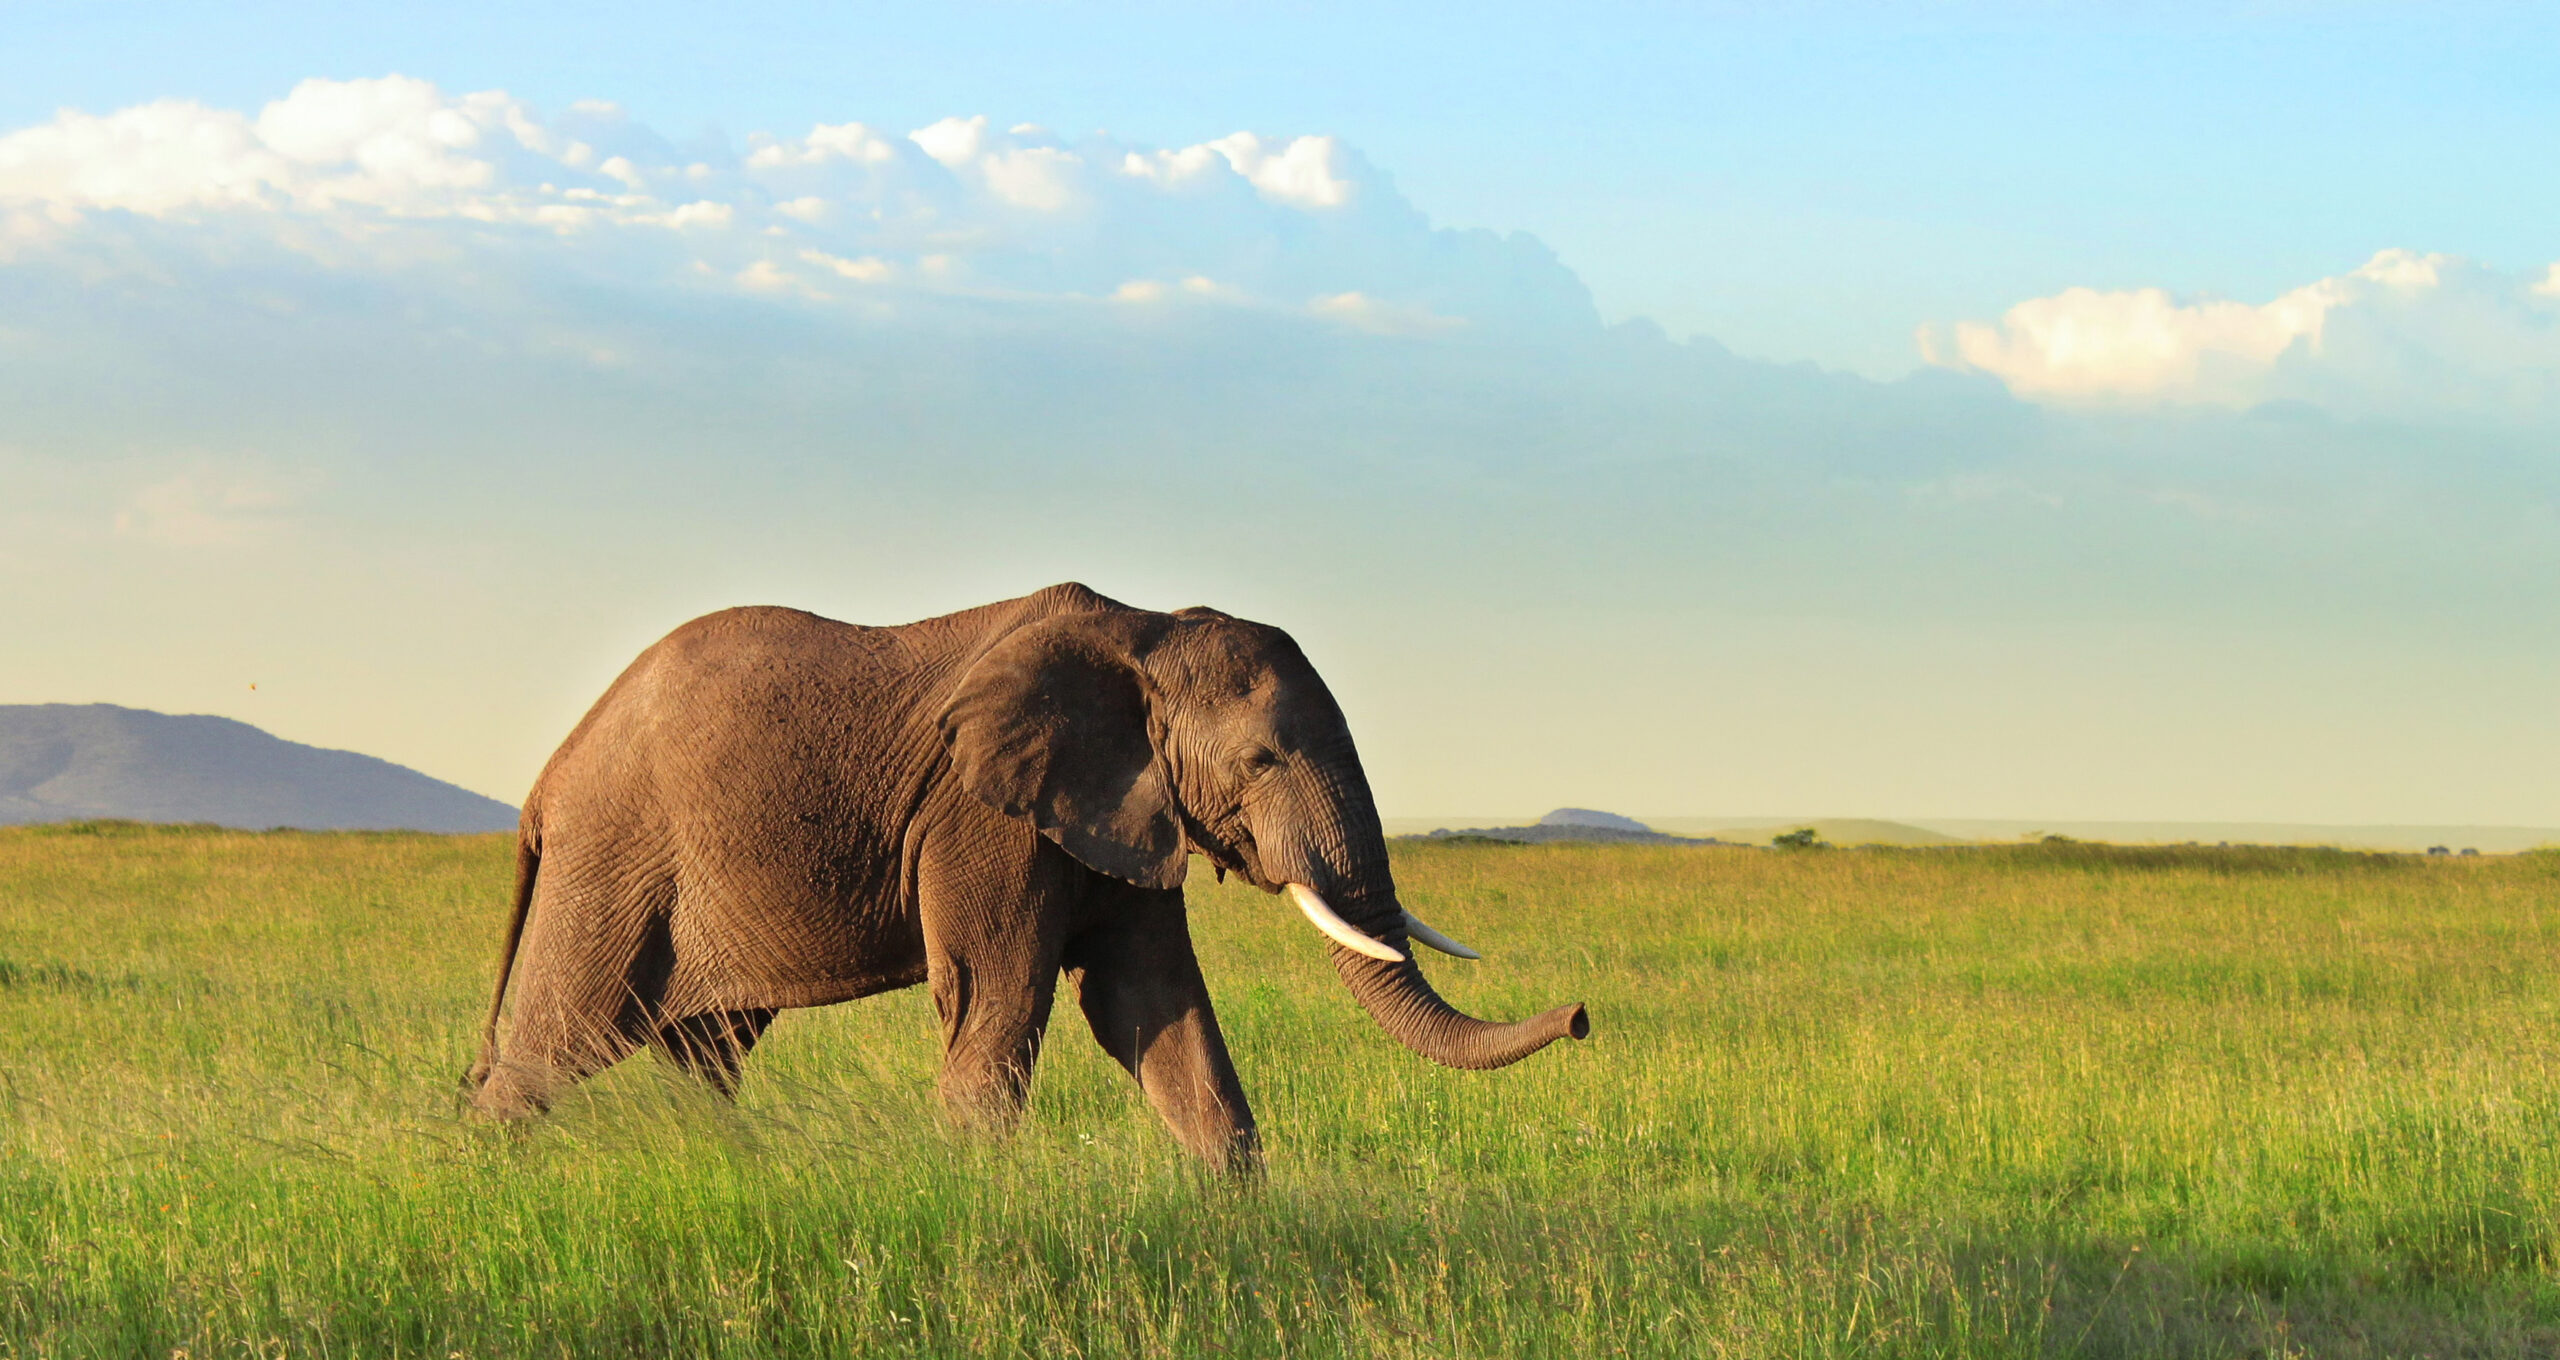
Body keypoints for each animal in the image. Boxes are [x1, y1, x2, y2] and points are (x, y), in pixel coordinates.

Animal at [463, 583, 1589, 1170]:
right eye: (1264, 760)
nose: (1580, 1017)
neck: (1145, 632)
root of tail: (545, 783)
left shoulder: (1125, 809)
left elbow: (1151, 1003)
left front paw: (1240, 1211)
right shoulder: (983, 819)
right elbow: (1000, 999)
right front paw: (974, 1194)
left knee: (705, 1053)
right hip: (613, 858)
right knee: (558, 1042)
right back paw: (494, 1177)